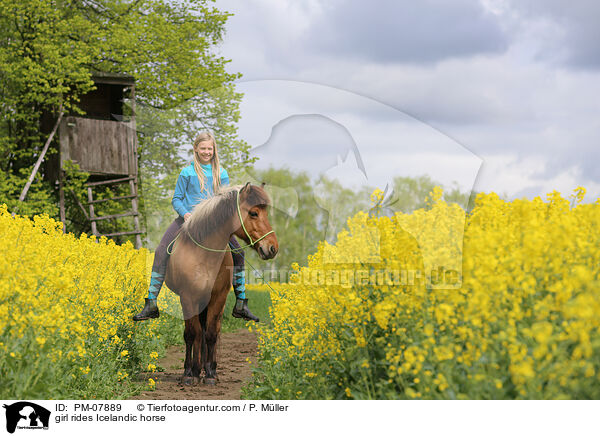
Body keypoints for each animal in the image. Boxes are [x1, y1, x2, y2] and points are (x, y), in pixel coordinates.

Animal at [163, 182, 278, 386]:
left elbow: (211, 334)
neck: (203, 254)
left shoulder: (218, 297)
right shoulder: (188, 297)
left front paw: (210, 373)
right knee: (197, 333)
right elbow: (191, 334)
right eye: (254, 213)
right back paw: (195, 369)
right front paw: (188, 373)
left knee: (210, 331)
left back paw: (205, 369)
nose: (273, 248)